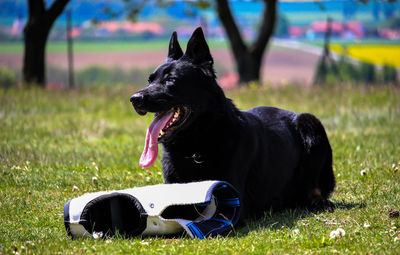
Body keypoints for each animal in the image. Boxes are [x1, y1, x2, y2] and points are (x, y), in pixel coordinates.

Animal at [130, 26, 334, 220]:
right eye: (150, 80)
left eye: (171, 79)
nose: (134, 99)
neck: (196, 149)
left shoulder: (230, 200)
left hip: (310, 122)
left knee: (314, 190)